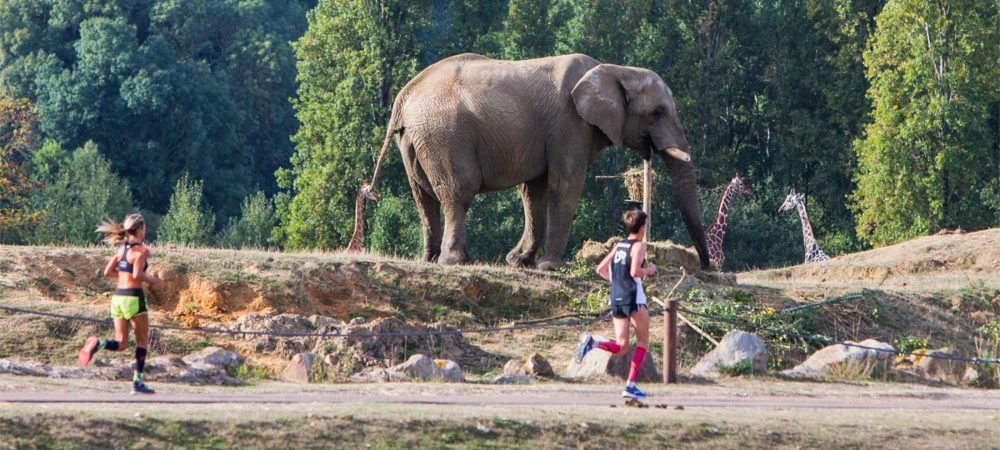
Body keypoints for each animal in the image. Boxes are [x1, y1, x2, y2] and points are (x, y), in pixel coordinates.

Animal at [374, 52, 712, 270]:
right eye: (657, 112)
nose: (706, 267)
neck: (616, 69)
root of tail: (405, 95)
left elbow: (533, 191)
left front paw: (520, 262)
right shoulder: (570, 124)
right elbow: (565, 184)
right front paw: (551, 267)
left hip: (417, 139)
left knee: (423, 196)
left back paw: (430, 260)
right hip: (445, 134)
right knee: (459, 191)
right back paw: (458, 262)